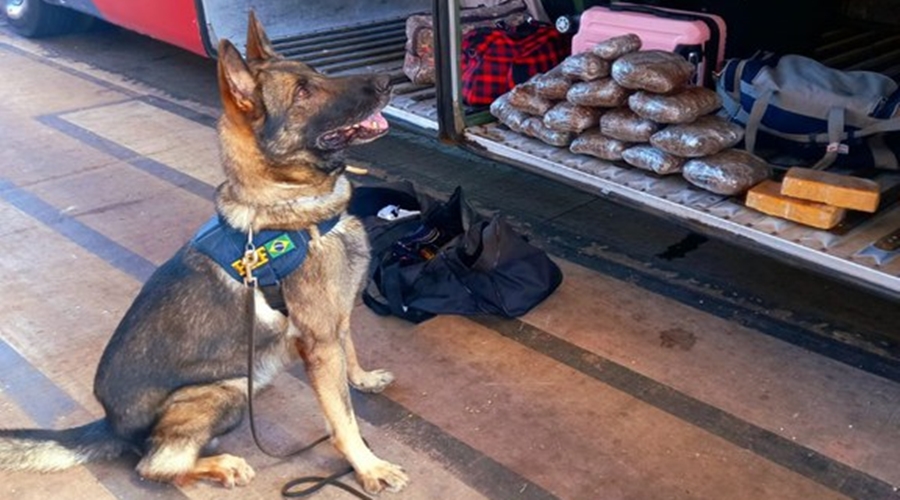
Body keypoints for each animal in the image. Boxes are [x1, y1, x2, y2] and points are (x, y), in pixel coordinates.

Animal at [0, 11, 408, 496]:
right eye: (303, 92)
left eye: (317, 72)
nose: (387, 79)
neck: (292, 205)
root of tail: (112, 424)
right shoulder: (321, 343)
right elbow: (342, 418)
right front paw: (369, 465)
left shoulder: (334, 325)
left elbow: (351, 351)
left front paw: (362, 378)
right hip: (217, 392)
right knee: (155, 464)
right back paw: (221, 465)